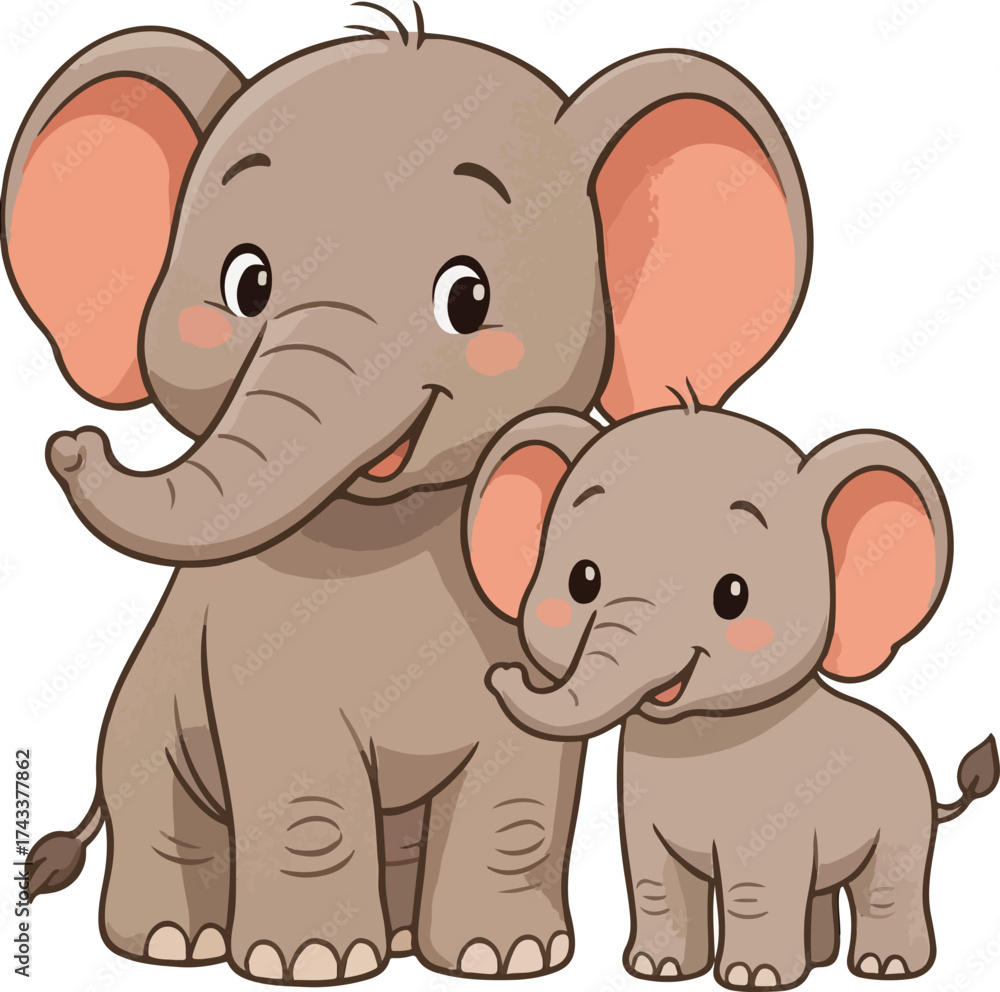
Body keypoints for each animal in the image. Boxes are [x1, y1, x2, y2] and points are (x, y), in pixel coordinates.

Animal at [5, 3, 811, 984]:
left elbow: (519, 785)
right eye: (246, 283)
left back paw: (392, 940)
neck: (385, 524)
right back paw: (171, 943)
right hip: (142, 721)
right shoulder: (250, 649)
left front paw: (507, 958)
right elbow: (303, 780)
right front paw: (311, 964)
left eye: (468, 297)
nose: (72, 443)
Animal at [468, 398, 998, 989]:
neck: (699, 731)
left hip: (903, 817)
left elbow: (756, 887)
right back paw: (819, 960)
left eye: (733, 596)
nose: (501, 672)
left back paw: (887, 967)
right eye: (582, 581)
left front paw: (754, 978)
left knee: (887, 885)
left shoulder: (780, 807)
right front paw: (658, 970)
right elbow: (653, 879)